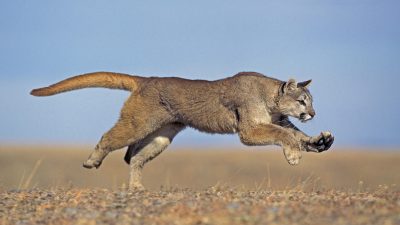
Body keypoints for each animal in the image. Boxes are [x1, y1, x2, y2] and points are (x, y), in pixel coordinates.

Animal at [30, 71, 334, 189]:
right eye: (302, 101)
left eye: (310, 101)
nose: (313, 113)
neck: (270, 98)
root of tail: (146, 79)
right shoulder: (249, 131)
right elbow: (284, 135)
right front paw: (293, 155)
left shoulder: (278, 121)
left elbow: (296, 135)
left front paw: (320, 141)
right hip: (138, 123)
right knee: (110, 139)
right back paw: (92, 161)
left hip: (161, 137)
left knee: (134, 157)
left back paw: (138, 188)